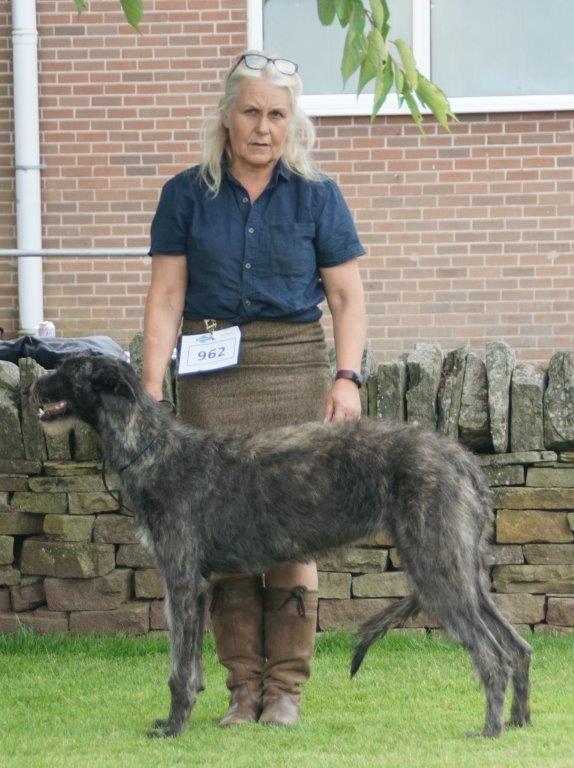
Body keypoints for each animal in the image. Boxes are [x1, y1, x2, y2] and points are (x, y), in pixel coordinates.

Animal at [32, 354, 536, 736]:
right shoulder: (199, 582)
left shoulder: (181, 578)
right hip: (463, 569)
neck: (153, 449)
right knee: (517, 647)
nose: (34, 385)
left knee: (492, 655)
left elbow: (178, 669)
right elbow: (192, 666)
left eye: (69, 368)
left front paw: (173, 727)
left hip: (436, 567)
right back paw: (519, 722)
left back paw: (489, 730)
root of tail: (462, 458)